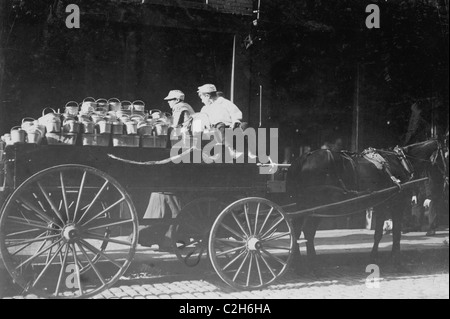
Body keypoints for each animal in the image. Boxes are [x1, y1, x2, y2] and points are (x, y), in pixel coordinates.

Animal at [284, 139, 446, 274]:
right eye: (445, 154)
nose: (445, 179)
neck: (401, 161)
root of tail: (304, 158)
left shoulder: (381, 205)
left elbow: (378, 233)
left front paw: (373, 259)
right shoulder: (397, 204)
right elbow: (396, 234)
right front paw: (397, 262)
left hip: (303, 206)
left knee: (296, 231)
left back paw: (297, 264)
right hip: (320, 207)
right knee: (308, 231)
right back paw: (312, 265)